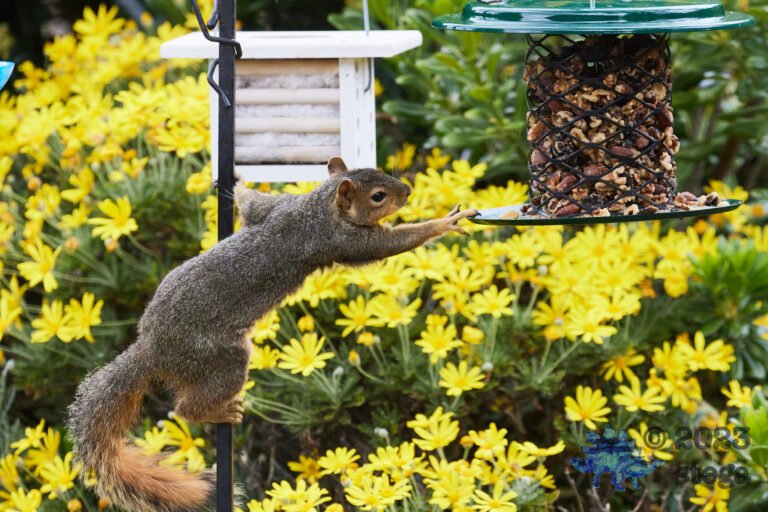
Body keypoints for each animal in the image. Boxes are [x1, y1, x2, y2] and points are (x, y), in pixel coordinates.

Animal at [66, 157, 478, 512]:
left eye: (378, 172)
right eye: (378, 196)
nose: (407, 190)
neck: (316, 208)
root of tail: (150, 349)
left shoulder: (278, 208)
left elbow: (252, 205)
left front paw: (236, 181)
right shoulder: (343, 241)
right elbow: (395, 243)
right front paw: (443, 223)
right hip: (221, 359)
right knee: (186, 409)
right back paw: (218, 410)